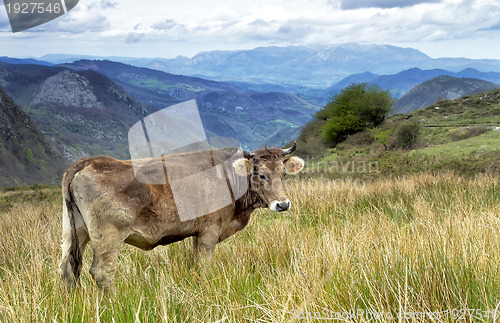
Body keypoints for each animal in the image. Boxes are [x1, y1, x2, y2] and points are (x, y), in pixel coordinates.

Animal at [56, 143, 302, 290]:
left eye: (284, 173)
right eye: (260, 174)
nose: (283, 204)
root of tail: (90, 161)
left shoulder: (198, 233)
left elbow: (194, 264)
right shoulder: (210, 230)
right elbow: (204, 265)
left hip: (74, 230)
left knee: (67, 268)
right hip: (107, 234)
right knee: (102, 271)